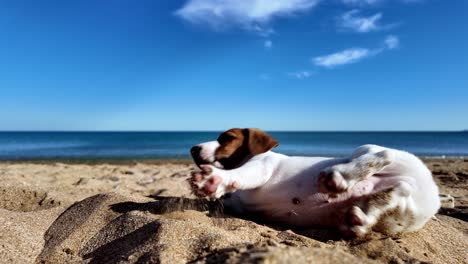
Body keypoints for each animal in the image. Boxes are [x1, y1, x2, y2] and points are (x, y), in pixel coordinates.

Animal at [188, 128, 440, 237]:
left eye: (227, 138)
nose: (193, 148)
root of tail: (432, 191)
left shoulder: (262, 167)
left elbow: (238, 176)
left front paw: (214, 179)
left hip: (369, 150)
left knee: (384, 155)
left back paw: (339, 176)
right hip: (403, 215)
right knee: (400, 190)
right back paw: (363, 216)